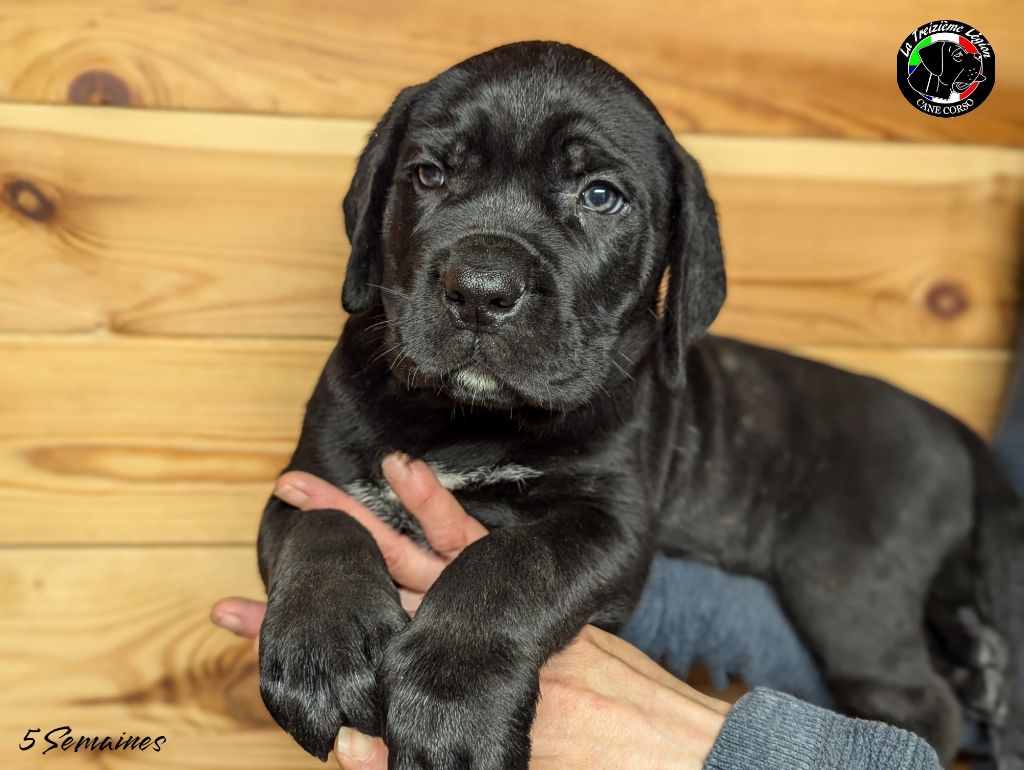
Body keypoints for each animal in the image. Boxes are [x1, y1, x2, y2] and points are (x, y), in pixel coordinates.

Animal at [258, 41, 1024, 770]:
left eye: (601, 196)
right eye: (429, 175)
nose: (480, 289)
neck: (467, 418)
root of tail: (946, 425)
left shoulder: (610, 521)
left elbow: (511, 563)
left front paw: (450, 692)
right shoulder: (309, 478)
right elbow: (323, 524)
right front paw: (324, 649)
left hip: (843, 581)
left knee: (919, 701)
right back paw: (979, 663)